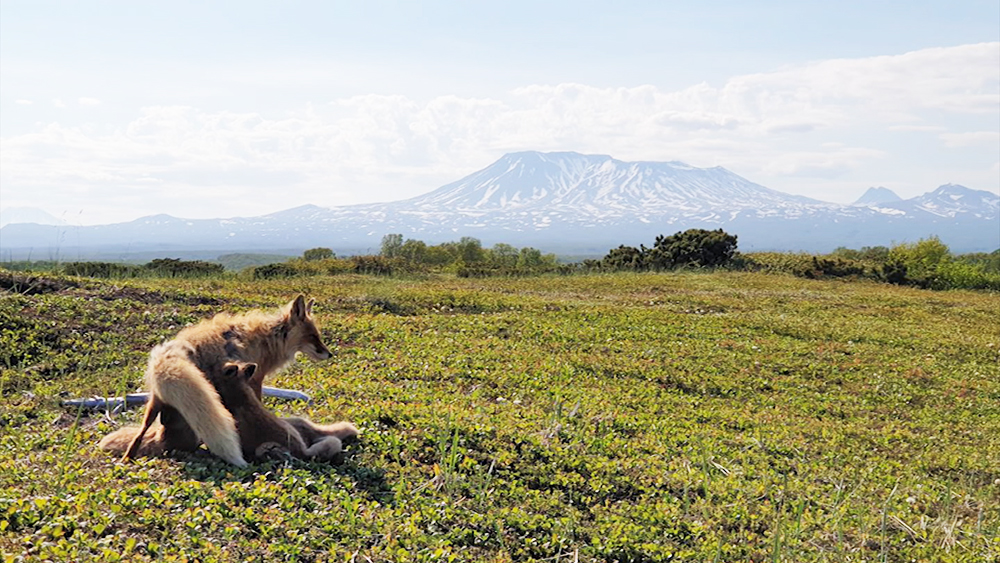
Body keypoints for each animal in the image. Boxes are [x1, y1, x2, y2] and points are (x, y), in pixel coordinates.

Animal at [111, 296, 332, 468]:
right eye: (313, 336)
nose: (329, 354)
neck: (268, 338)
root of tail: (173, 351)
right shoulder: (254, 379)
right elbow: (259, 405)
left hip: (158, 401)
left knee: (144, 431)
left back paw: (128, 457)